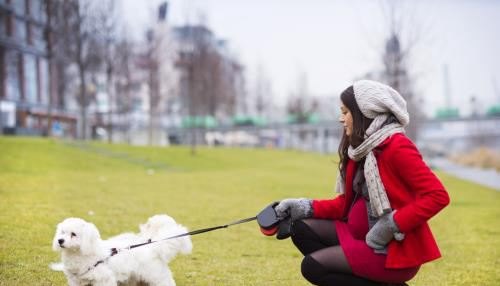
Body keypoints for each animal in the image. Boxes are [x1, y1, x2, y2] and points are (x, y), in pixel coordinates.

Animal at [52, 214, 192, 286]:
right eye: (62, 232)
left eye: (73, 234)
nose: (60, 241)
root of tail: (151, 245)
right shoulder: (76, 281)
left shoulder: (104, 280)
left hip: (156, 277)